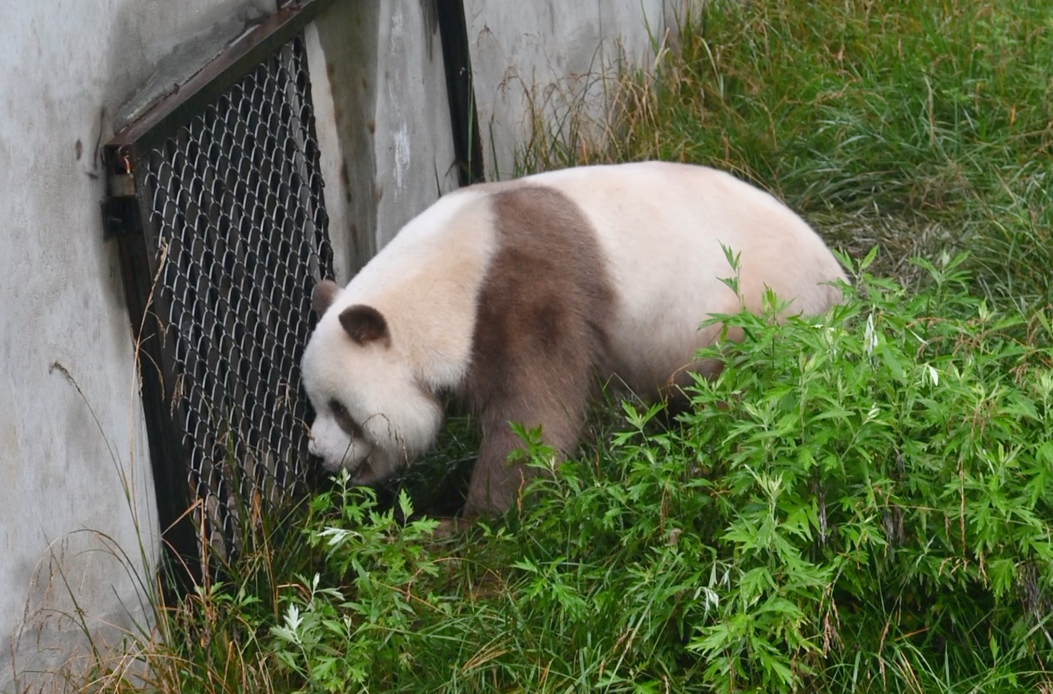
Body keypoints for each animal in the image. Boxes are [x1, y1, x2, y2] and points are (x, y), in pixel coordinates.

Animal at [299, 160, 846, 513]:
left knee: (749, 400)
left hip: (759, 312)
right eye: (316, 405)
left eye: (343, 410)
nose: (318, 456)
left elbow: (533, 414)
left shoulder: (524, 294)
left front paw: (472, 519)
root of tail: (840, 282)